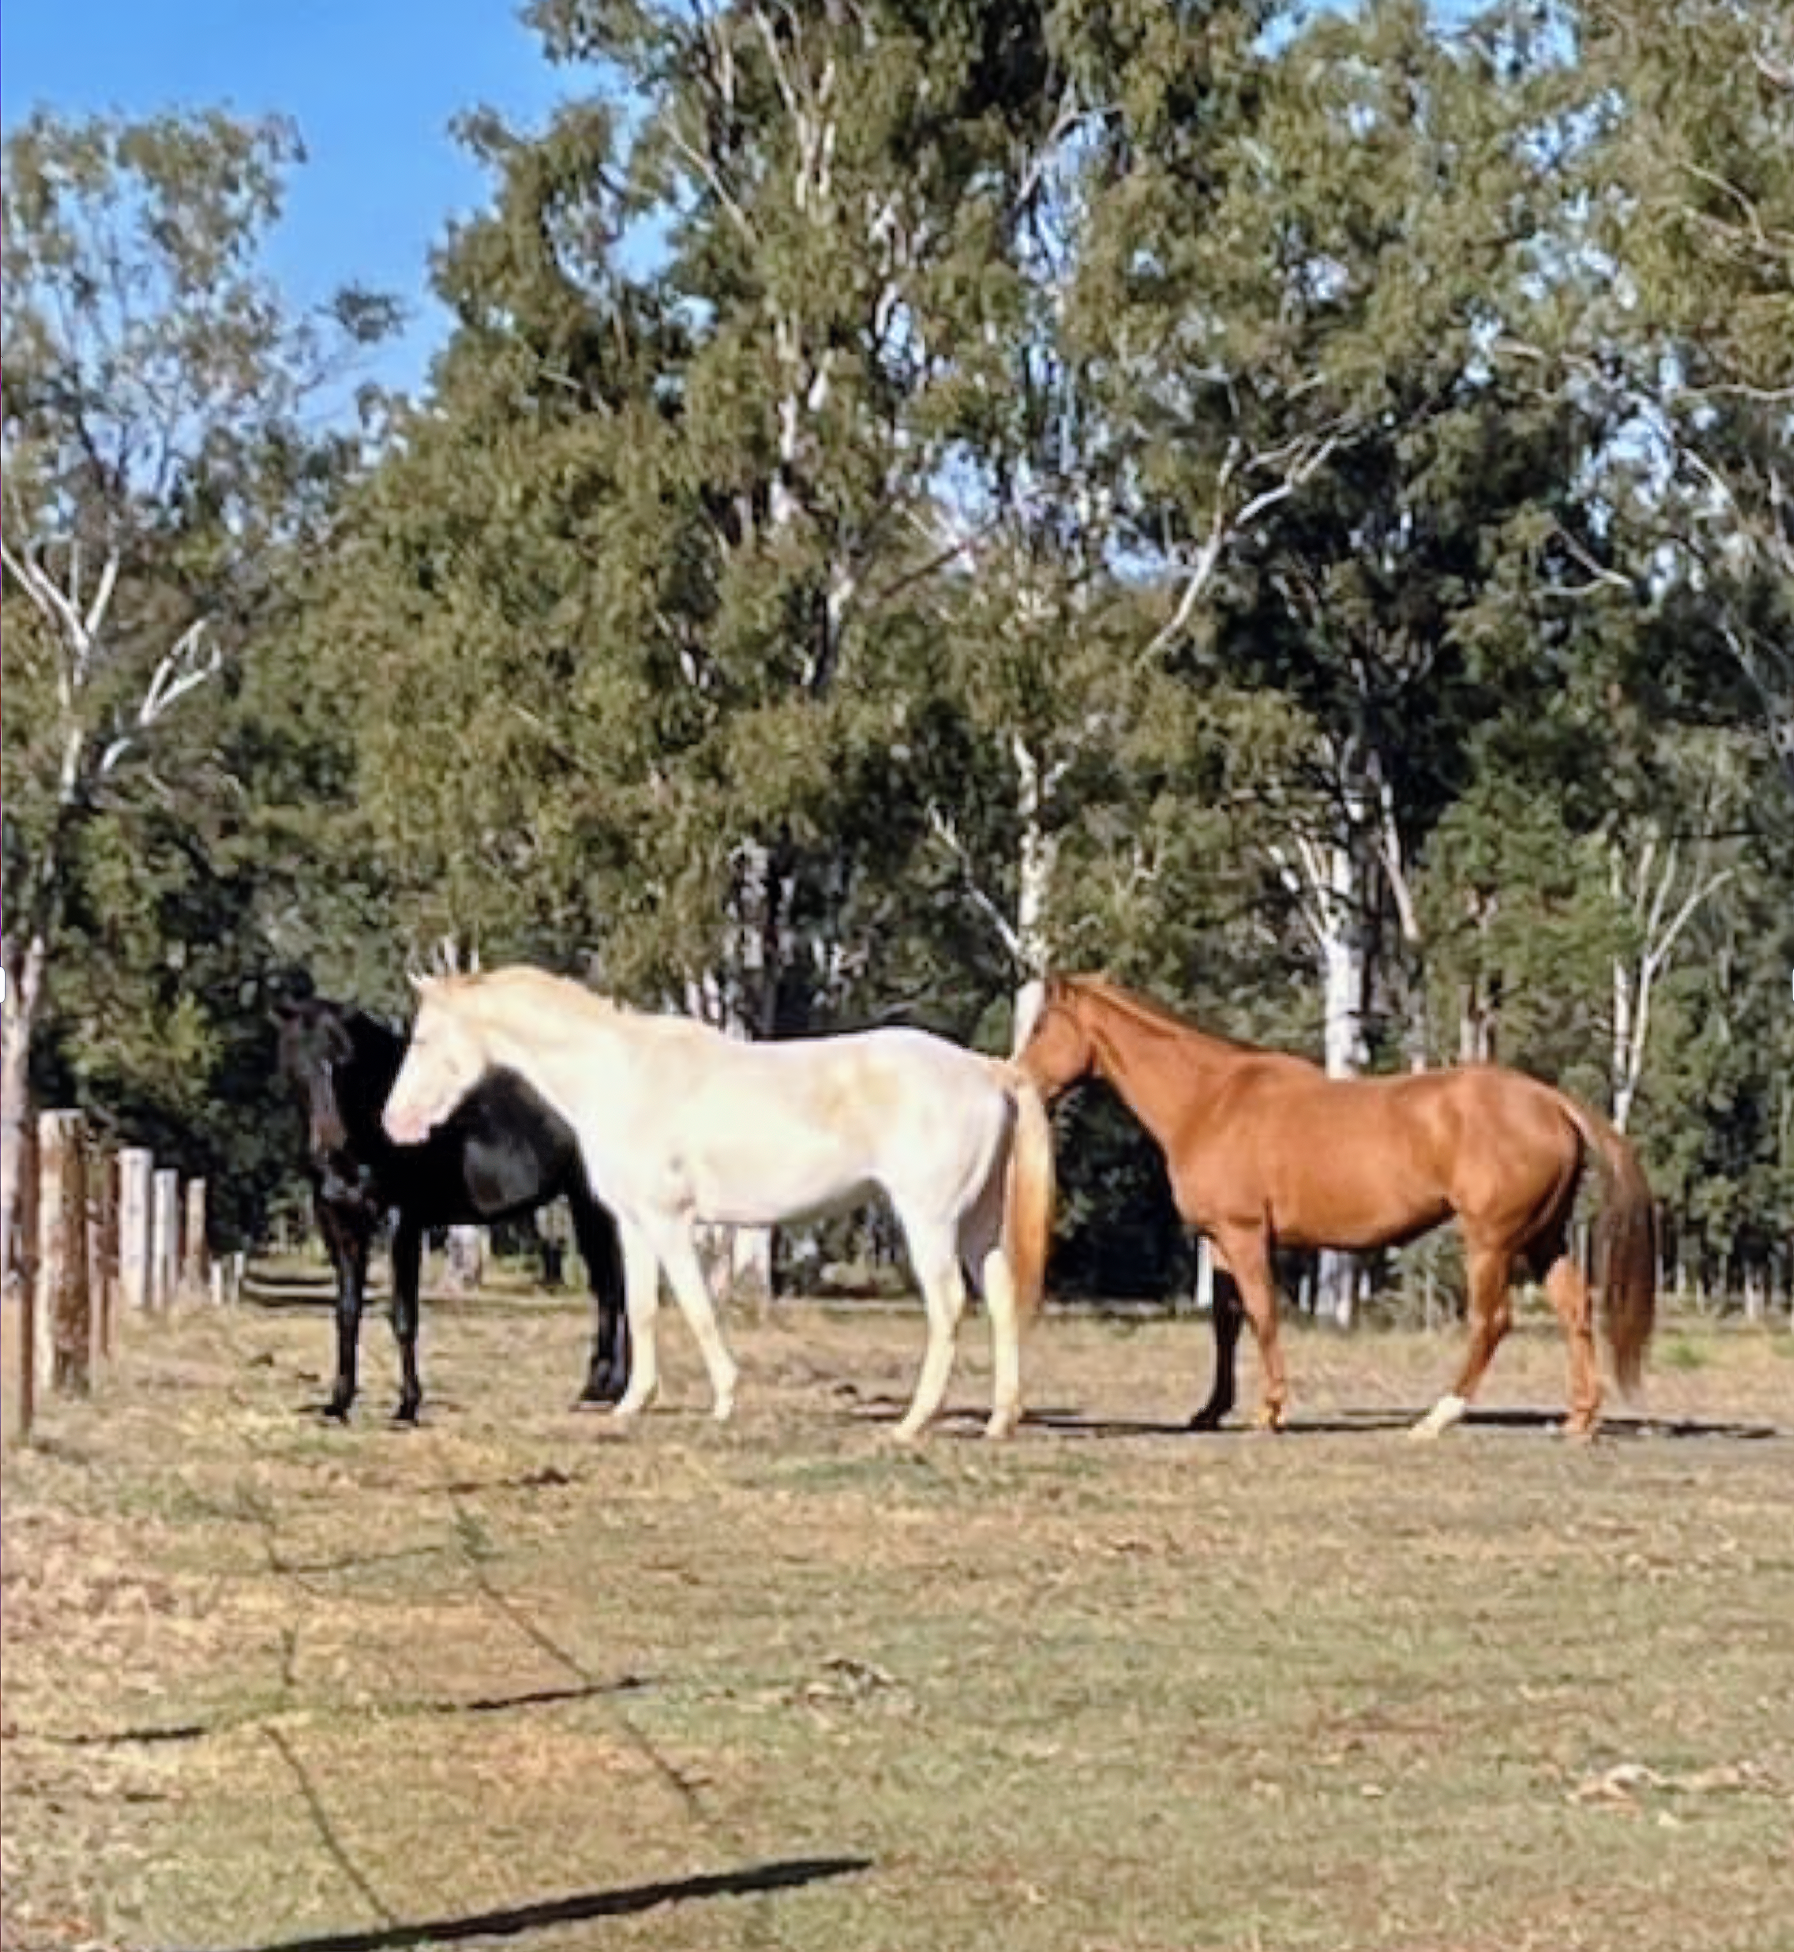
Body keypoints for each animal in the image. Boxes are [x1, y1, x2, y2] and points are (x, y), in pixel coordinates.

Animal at [274, 989, 628, 1422]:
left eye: (345, 1060)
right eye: (295, 1059)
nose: (328, 1144)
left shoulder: (401, 1223)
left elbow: (403, 1315)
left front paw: (407, 1406)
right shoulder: (339, 1224)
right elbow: (347, 1313)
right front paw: (339, 1403)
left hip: (594, 1204)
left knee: (615, 1289)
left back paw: (605, 1388)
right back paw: (604, 1389)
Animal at [380, 966, 1057, 1440]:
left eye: (424, 1038)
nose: (394, 1123)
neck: (619, 1077)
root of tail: (989, 1071)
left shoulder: (669, 1220)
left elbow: (696, 1305)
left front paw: (725, 1400)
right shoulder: (633, 1224)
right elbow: (642, 1309)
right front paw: (630, 1405)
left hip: (930, 1220)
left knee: (949, 1306)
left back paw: (912, 1423)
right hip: (977, 1226)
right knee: (1000, 1302)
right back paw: (999, 1421)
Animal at [1013, 974, 1656, 1439]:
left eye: (1043, 1024)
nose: (1019, 1080)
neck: (1210, 1100)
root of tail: (1551, 1101)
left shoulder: (1246, 1235)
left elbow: (1262, 1314)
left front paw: (1269, 1411)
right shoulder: (1219, 1240)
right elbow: (1226, 1323)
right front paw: (1211, 1410)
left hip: (1492, 1242)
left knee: (1491, 1322)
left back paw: (1438, 1416)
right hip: (1544, 1239)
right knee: (1574, 1311)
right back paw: (1579, 1419)